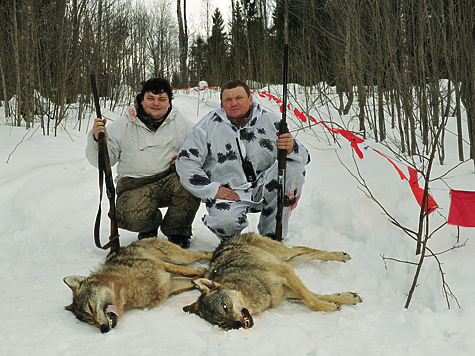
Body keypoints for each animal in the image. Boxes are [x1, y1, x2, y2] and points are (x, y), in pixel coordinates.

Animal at [64, 236, 212, 334]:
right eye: (90, 321)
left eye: (90, 307)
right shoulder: (171, 285)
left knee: (200, 254)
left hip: (182, 257)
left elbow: (190, 272)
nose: (103, 329)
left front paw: (207, 273)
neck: (129, 289)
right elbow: (194, 281)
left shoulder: (163, 266)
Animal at [184, 232, 362, 330]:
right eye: (222, 323)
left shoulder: (286, 273)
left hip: (284, 256)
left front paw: (329, 307)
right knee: (306, 252)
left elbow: (310, 301)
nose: (237, 325)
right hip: (289, 261)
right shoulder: (287, 290)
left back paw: (339, 255)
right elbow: (316, 296)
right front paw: (346, 298)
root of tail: (228, 239)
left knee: (302, 249)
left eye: (225, 306)